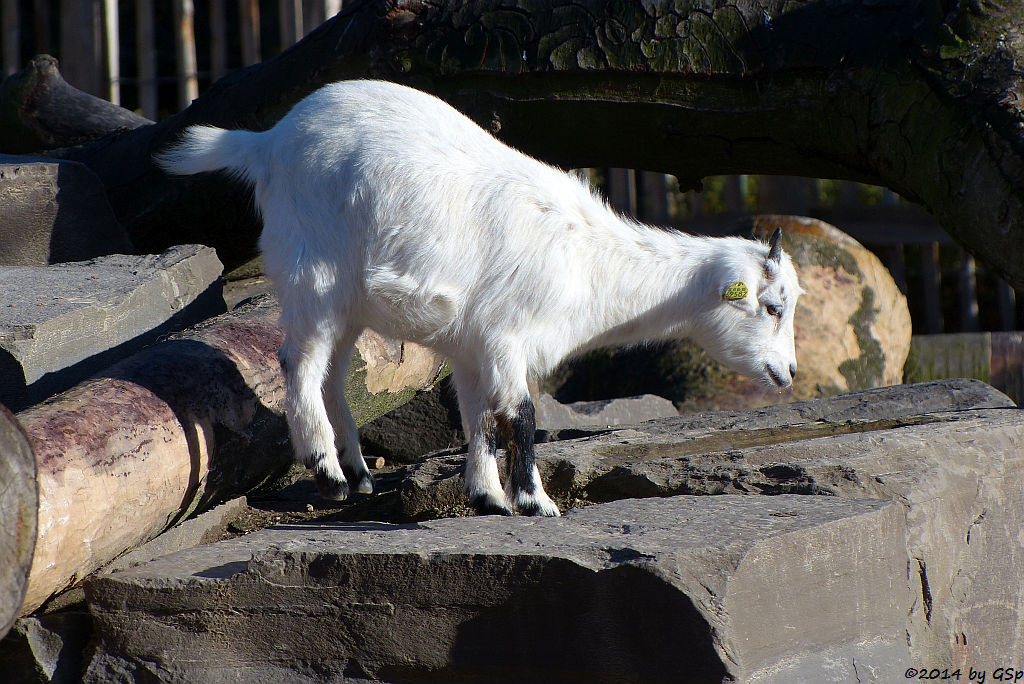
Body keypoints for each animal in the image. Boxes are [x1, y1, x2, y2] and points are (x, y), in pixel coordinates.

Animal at [155, 78, 802, 518]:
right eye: (772, 307)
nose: (789, 372)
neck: (589, 262)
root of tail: (267, 141)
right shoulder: (506, 338)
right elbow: (520, 414)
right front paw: (536, 503)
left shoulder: (471, 346)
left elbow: (479, 417)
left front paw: (487, 496)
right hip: (311, 271)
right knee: (298, 364)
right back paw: (328, 473)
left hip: (349, 301)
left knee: (334, 373)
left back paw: (360, 473)